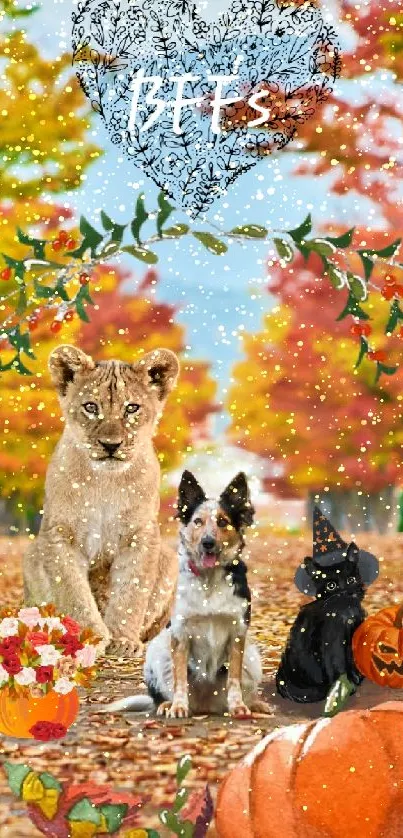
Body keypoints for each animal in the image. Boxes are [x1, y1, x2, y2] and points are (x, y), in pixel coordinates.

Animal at [104, 470, 272, 720]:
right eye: (198, 522)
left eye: (223, 522)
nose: (207, 542)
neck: (209, 580)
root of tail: (205, 706)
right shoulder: (180, 634)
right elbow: (180, 679)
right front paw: (178, 707)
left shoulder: (238, 633)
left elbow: (234, 679)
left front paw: (238, 707)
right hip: (158, 649)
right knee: (163, 692)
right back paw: (166, 704)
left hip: (252, 657)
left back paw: (254, 704)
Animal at [278, 544, 366, 708]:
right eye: (331, 585)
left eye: (351, 580)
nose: (346, 591)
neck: (346, 612)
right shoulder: (332, 643)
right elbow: (338, 666)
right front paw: (345, 687)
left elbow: (351, 659)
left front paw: (356, 675)